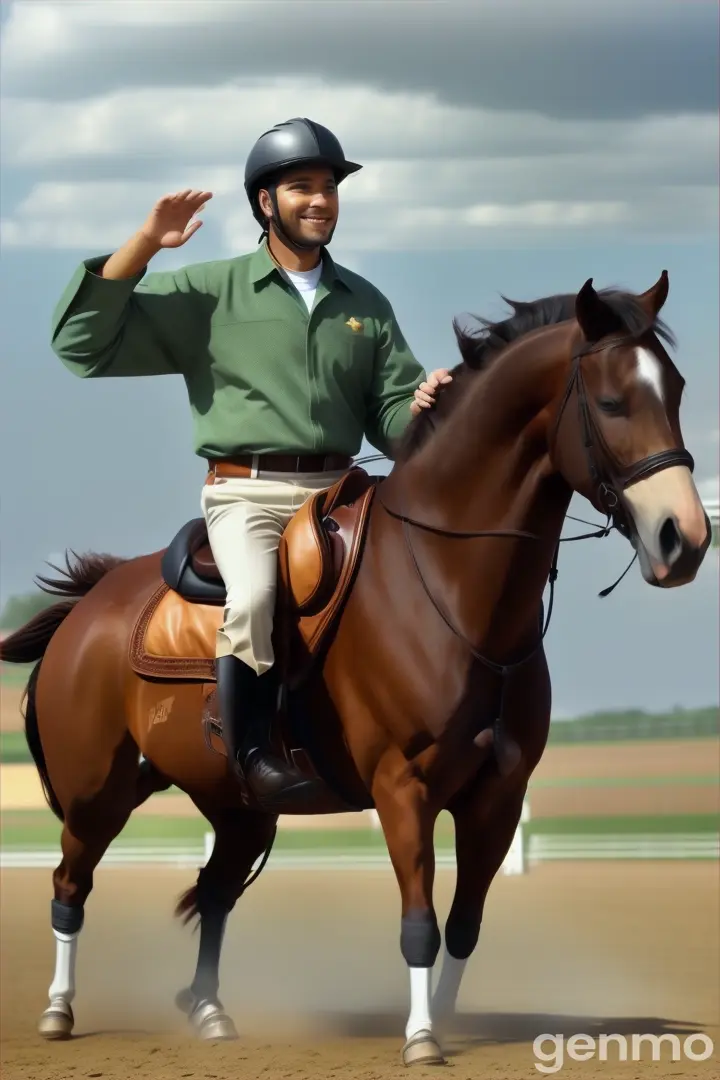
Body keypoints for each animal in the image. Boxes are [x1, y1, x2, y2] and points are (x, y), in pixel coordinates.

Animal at [0, 270, 708, 1062]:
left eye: (676, 391)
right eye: (613, 402)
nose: (684, 539)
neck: (445, 582)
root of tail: (88, 606)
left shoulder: (497, 796)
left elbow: (463, 926)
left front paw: (444, 1020)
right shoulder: (404, 787)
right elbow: (418, 925)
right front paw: (422, 1039)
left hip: (240, 809)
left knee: (213, 892)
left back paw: (210, 1011)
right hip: (97, 796)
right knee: (69, 886)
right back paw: (59, 1010)